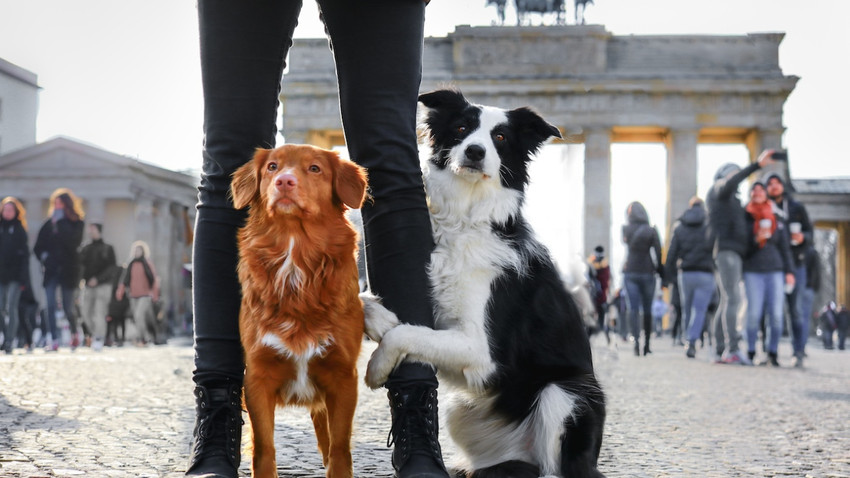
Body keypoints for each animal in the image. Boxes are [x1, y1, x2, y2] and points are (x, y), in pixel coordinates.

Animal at [230, 144, 366, 476]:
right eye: (272, 167)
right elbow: (264, 449)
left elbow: (339, 448)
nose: (284, 181)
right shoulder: (257, 377)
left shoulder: (343, 377)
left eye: (315, 168)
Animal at [364, 88, 604, 476]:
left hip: (565, 393)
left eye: (501, 137)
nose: (475, 151)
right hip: (459, 409)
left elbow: (405, 333)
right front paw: (378, 318)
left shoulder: (483, 354)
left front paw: (377, 365)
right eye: (462, 127)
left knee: (554, 466)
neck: (465, 216)